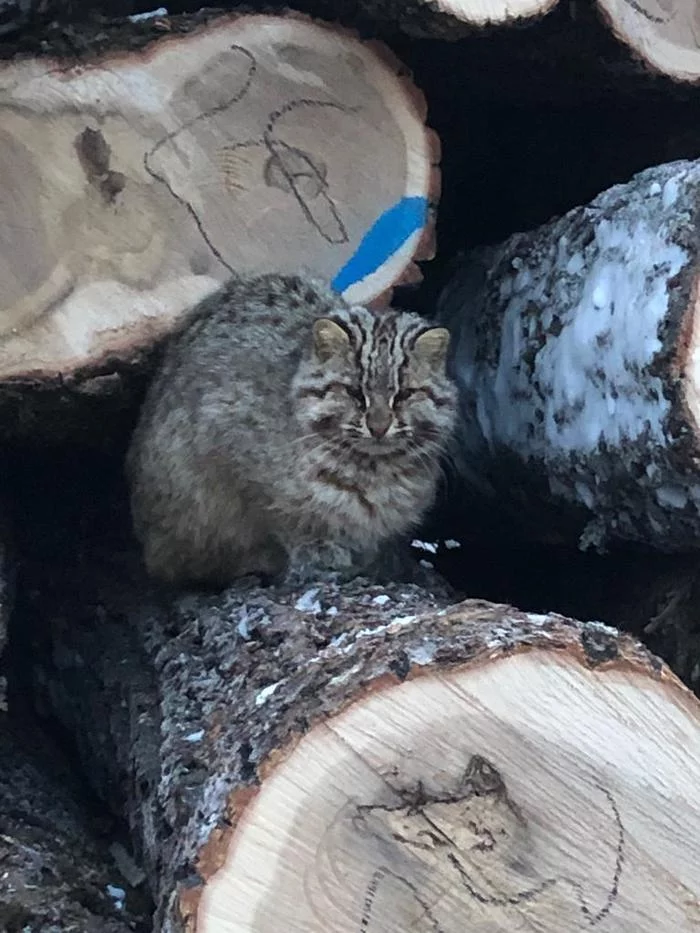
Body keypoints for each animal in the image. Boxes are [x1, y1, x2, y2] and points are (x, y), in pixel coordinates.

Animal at [126, 274, 460, 588]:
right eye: (354, 392)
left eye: (404, 394)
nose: (378, 427)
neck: (374, 468)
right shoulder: (234, 458)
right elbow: (285, 522)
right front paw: (318, 553)